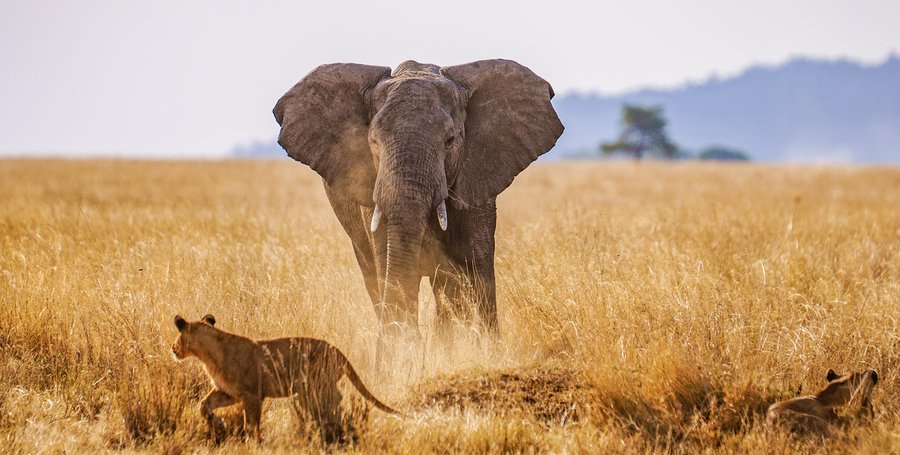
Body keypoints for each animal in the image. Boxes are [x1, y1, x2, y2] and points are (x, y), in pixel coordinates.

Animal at [276, 58, 564, 350]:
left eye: (450, 141)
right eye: (373, 142)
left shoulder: (476, 180)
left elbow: (476, 264)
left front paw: (483, 349)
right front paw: (402, 352)